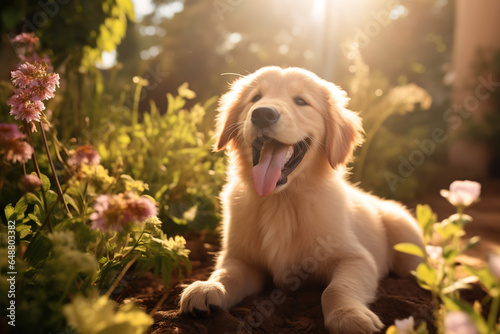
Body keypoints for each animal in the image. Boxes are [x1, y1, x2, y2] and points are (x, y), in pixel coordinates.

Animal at [179, 66, 422, 332]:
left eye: (301, 101)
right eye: (256, 98)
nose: (262, 114)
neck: (281, 201)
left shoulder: (357, 258)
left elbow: (335, 289)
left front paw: (348, 316)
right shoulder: (240, 257)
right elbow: (227, 273)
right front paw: (209, 287)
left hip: (405, 234)